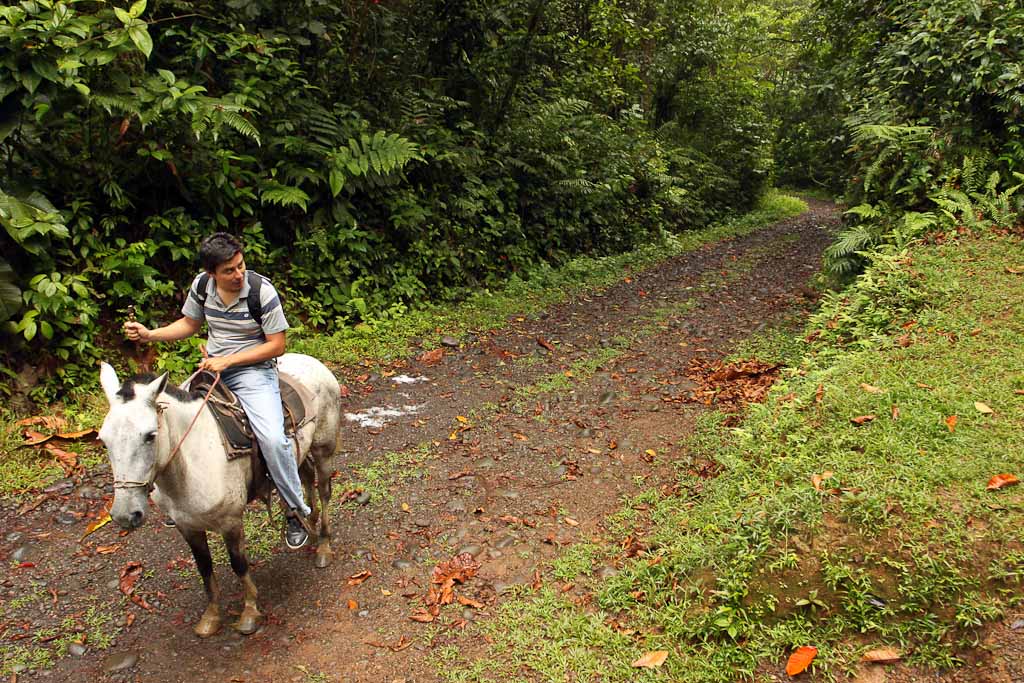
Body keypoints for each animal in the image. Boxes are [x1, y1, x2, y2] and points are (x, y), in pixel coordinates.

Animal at [96, 356, 337, 638]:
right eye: (103, 440)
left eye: (150, 435)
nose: (125, 515)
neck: (191, 461)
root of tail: (309, 360)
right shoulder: (187, 526)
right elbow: (204, 567)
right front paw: (211, 616)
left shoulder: (230, 522)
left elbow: (239, 564)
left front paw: (249, 612)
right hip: (301, 451)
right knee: (304, 477)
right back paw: (306, 523)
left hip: (323, 449)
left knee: (324, 491)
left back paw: (323, 545)